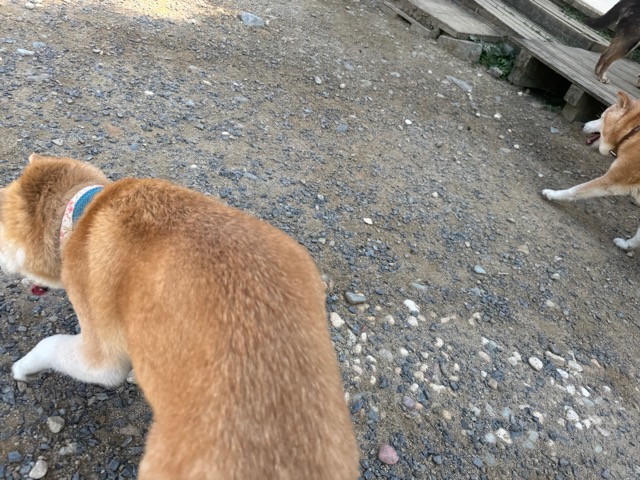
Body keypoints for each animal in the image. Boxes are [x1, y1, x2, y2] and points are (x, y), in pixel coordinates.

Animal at [542, 91, 640, 250]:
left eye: (602, 117)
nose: (583, 124)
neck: (634, 130)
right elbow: (639, 235)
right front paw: (627, 245)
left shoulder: (611, 181)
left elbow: (575, 190)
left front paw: (552, 194)